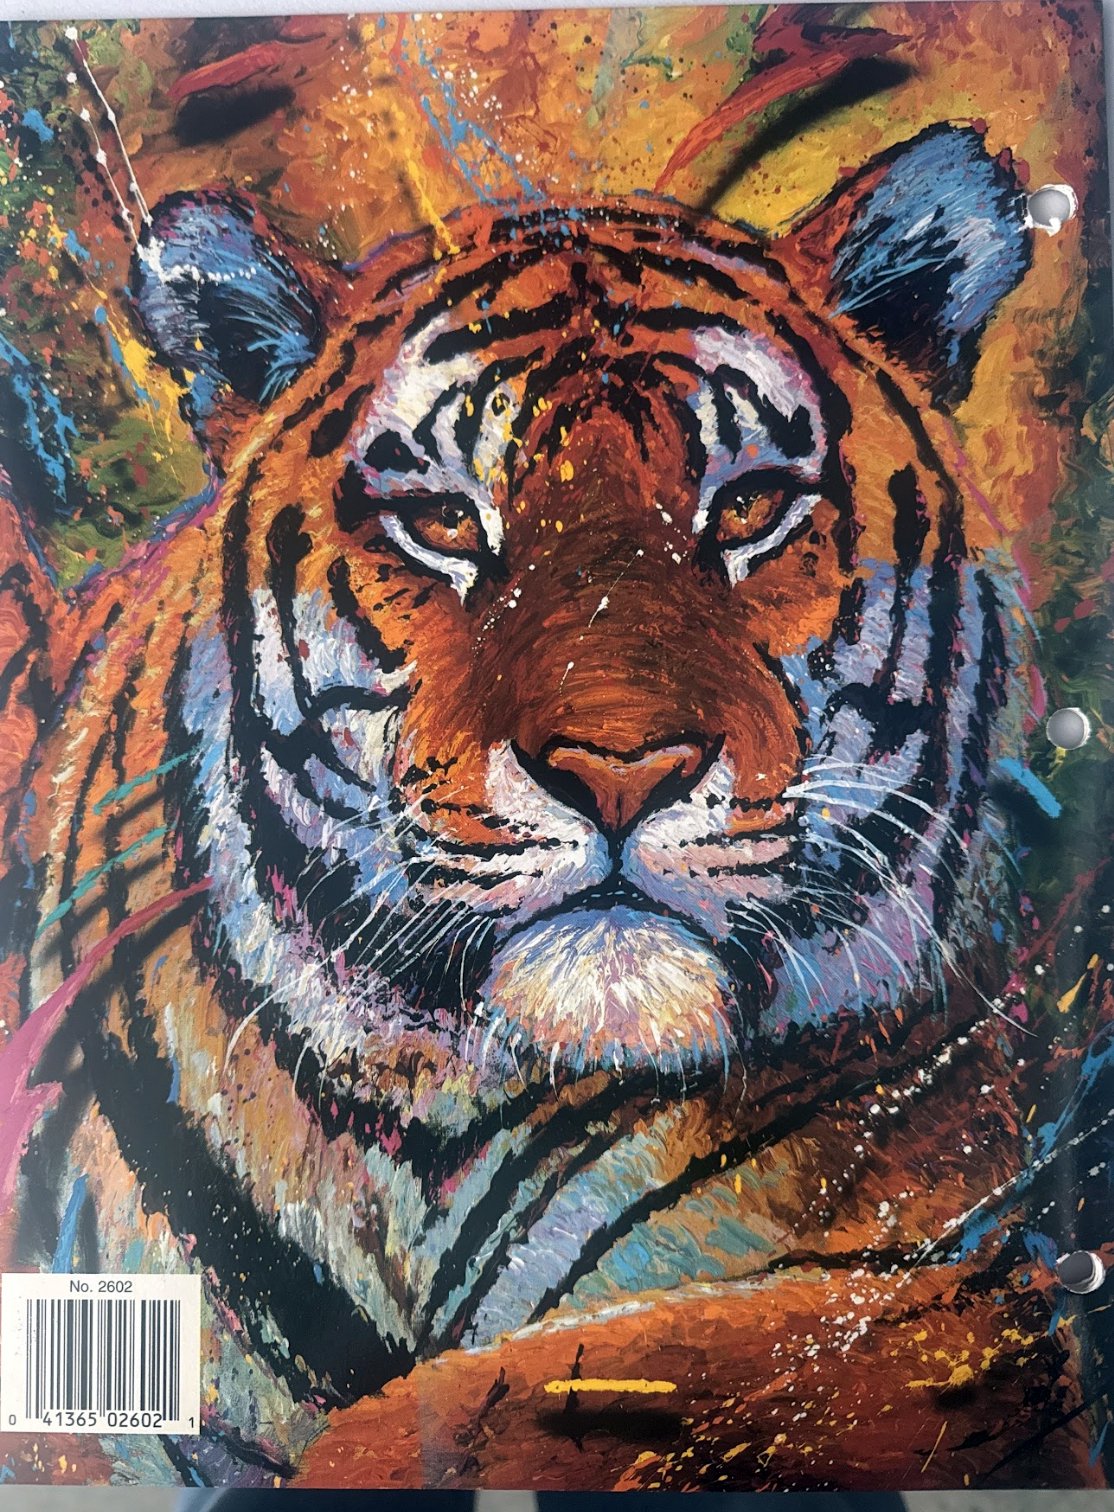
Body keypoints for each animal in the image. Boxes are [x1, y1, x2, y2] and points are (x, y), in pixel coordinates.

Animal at [1, 120, 1098, 1487]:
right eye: (441, 521)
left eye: (747, 505)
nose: (617, 766)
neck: (420, 1161)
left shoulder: (949, 1288)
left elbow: (619, 1375)